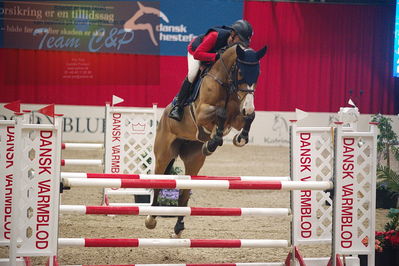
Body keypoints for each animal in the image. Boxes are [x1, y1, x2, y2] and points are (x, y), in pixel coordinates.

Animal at [145, 43, 268, 237]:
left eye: (257, 74)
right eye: (241, 73)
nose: (248, 107)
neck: (226, 82)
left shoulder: (237, 117)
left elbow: (248, 117)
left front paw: (239, 138)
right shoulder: (201, 112)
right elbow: (220, 113)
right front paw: (213, 140)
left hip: (194, 160)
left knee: (184, 193)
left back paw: (178, 228)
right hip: (164, 154)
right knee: (158, 183)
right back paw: (151, 218)